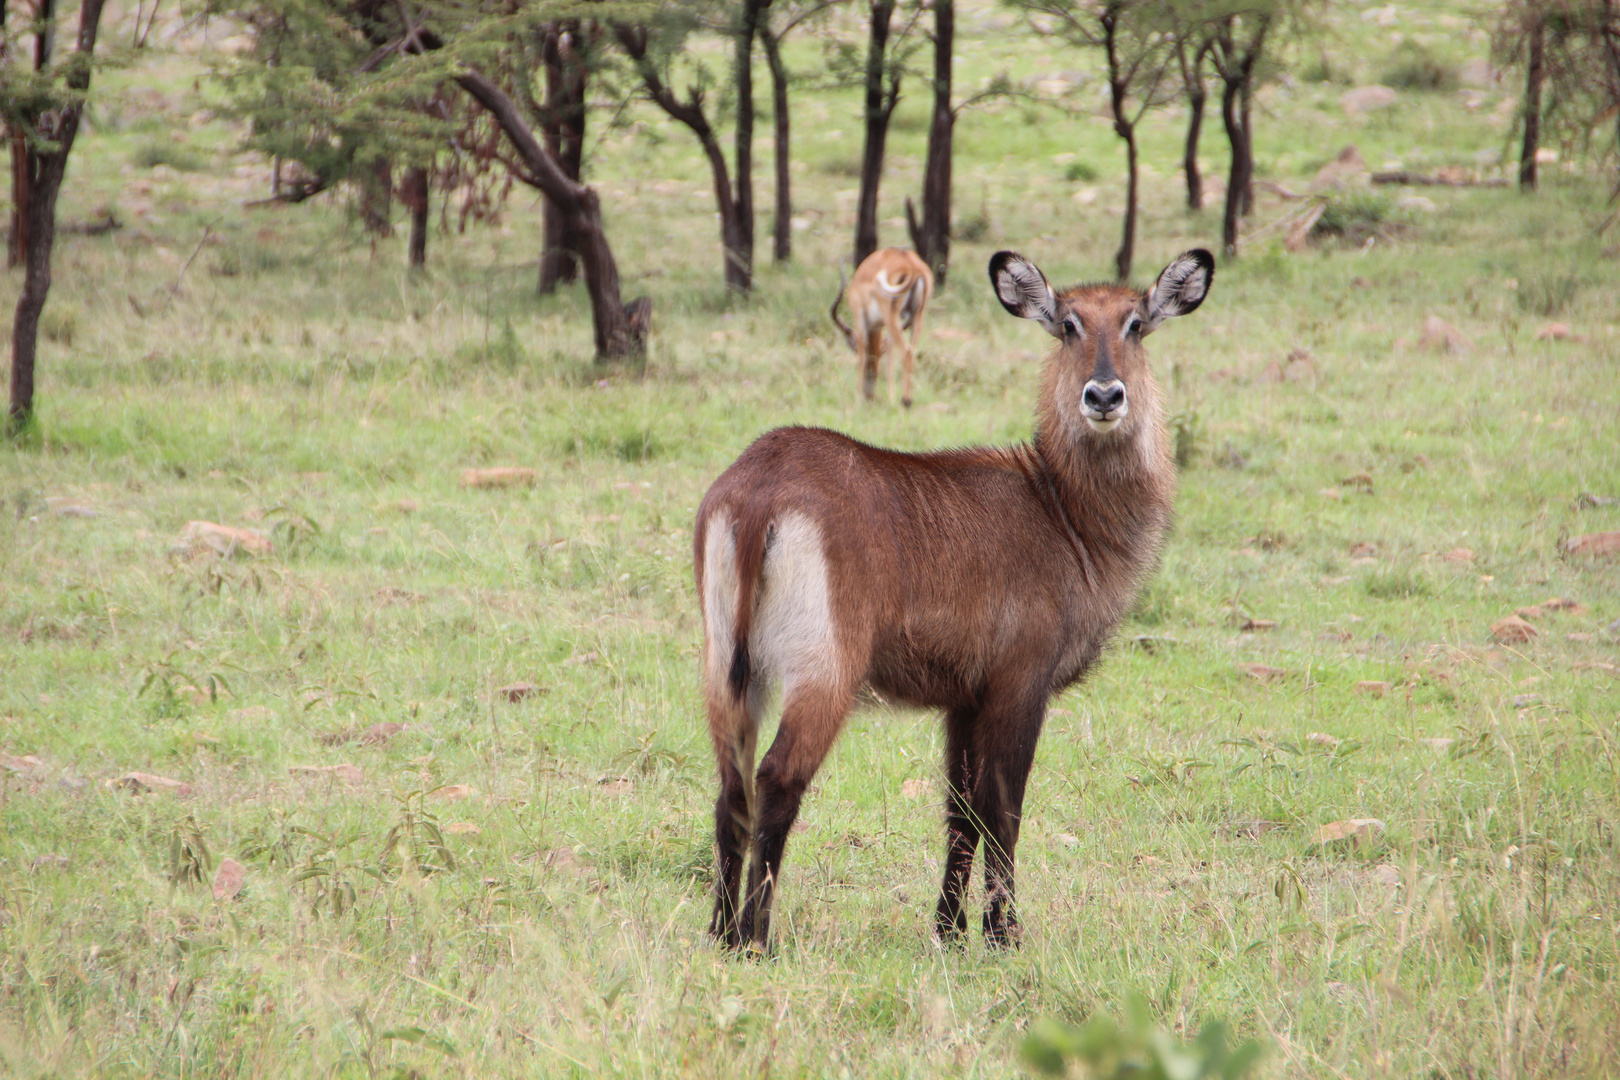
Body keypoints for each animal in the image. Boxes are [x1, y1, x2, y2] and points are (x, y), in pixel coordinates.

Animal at [829, 247, 933, 408]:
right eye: (878, 355)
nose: (868, 393)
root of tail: (912, 265)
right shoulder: (881, 327)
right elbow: (889, 354)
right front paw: (890, 399)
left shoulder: (859, 317)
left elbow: (862, 357)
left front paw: (858, 400)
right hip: (917, 315)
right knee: (912, 351)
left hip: (891, 315)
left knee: (907, 352)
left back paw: (906, 401)